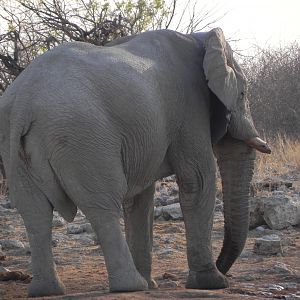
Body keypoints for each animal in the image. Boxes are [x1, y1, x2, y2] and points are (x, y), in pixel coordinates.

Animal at [0, 26, 272, 298]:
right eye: (243, 93)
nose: (223, 268)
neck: (200, 38)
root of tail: (24, 104)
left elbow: (140, 198)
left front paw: (156, 284)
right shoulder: (189, 107)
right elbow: (198, 179)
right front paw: (211, 282)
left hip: (14, 145)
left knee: (34, 212)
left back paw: (47, 290)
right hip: (82, 138)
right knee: (103, 206)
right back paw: (130, 285)